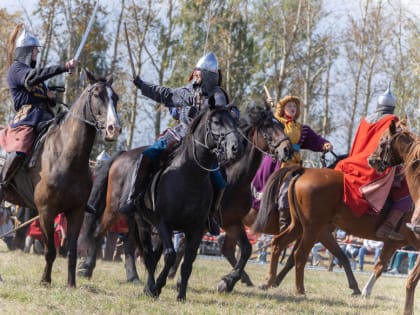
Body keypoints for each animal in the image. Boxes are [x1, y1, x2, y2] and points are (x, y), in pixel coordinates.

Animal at [1, 69, 120, 288]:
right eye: (97, 95)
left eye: (114, 97)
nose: (113, 129)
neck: (65, 156)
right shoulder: (46, 212)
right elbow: (50, 250)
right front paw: (45, 281)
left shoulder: (76, 212)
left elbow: (72, 252)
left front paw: (71, 283)